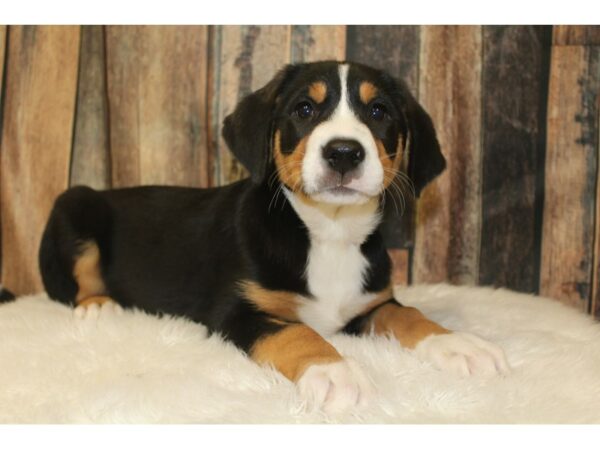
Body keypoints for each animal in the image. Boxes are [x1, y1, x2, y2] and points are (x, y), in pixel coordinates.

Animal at [38, 61, 506, 414]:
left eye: (378, 112)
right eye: (304, 109)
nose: (343, 152)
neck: (329, 233)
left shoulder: (371, 303)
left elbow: (409, 315)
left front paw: (458, 344)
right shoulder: (236, 311)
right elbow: (297, 334)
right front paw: (335, 371)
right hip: (76, 202)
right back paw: (100, 307)